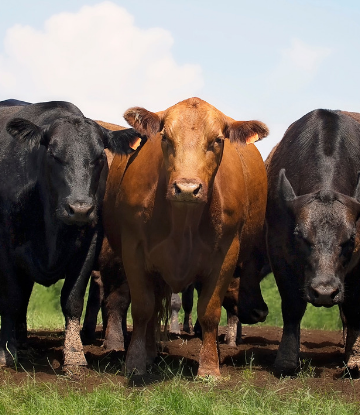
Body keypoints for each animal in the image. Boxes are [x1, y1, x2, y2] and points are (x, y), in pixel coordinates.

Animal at [0, 101, 139, 368]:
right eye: (54, 155)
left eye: (99, 157)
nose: (80, 208)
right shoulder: (6, 248)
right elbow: (11, 300)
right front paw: (6, 353)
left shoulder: (89, 244)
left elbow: (72, 299)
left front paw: (74, 354)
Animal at [102, 96, 268, 376]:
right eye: (165, 137)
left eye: (218, 140)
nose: (187, 188)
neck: (182, 223)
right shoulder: (133, 251)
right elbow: (143, 309)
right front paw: (135, 362)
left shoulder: (226, 255)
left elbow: (209, 312)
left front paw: (210, 367)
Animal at [268, 109, 360, 376]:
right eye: (300, 235)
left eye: (351, 238)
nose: (324, 292)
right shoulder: (278, 251)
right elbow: (292, 305)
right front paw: (286, 361)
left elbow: (355, 306)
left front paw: (355, 359)